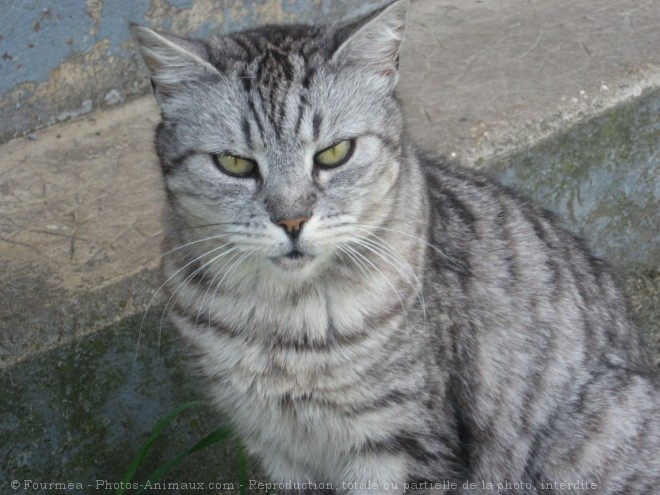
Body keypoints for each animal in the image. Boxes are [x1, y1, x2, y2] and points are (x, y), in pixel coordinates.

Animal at [131, 1, 656, 494]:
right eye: (235, 163)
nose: (291, 220)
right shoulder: (275, 446)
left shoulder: (400, 444)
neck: (283, 327)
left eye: (334, 154)